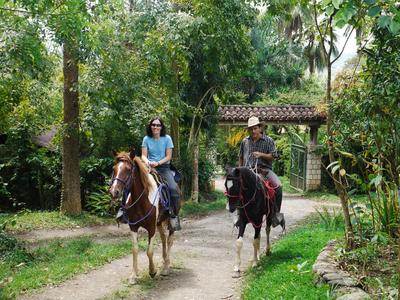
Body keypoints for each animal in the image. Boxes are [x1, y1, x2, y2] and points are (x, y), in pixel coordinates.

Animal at [109, 149, 178, 284]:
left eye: (128, 169)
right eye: (114, 168)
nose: (114, 192)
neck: (142, 200)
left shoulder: (151, 227)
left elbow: (149, 251)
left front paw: (152, 271)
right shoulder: (133, 227)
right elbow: (135, 250)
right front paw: (133, 275)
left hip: (170, 221)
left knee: (169, 240)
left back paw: (166, 267)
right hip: (159, 222)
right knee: (163, 238)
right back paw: (163, 261)